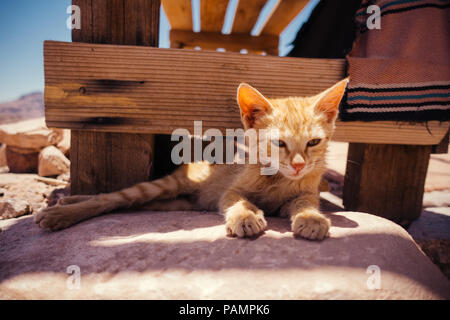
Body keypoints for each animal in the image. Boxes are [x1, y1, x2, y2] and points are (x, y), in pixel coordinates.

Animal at [35, 79, 350, 240]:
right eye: (278, 143)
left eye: (313, 143)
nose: (298, 165)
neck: (278, 179)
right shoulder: (231, 189)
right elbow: (237, 200)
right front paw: (245, 216)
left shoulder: (305, 192)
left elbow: (305, 203)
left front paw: (311, 219)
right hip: (166, 186)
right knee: (111, 198)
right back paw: (60, 212)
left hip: (174, 202)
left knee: (130, 204)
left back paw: (66, 202)